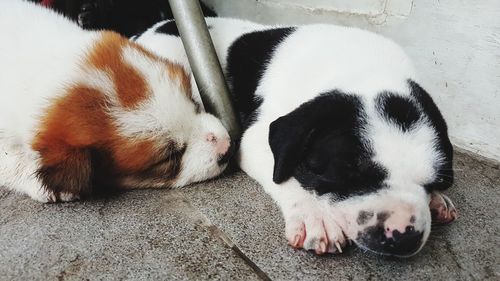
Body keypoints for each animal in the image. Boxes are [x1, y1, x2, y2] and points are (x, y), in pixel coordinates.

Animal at [135, 16, 458, 255]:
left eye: (437, 181)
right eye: (349, 173)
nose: (404, 237)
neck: (367, 69)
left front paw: (437, 200)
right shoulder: (254, 138)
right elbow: (286, 175)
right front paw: (314, 216)